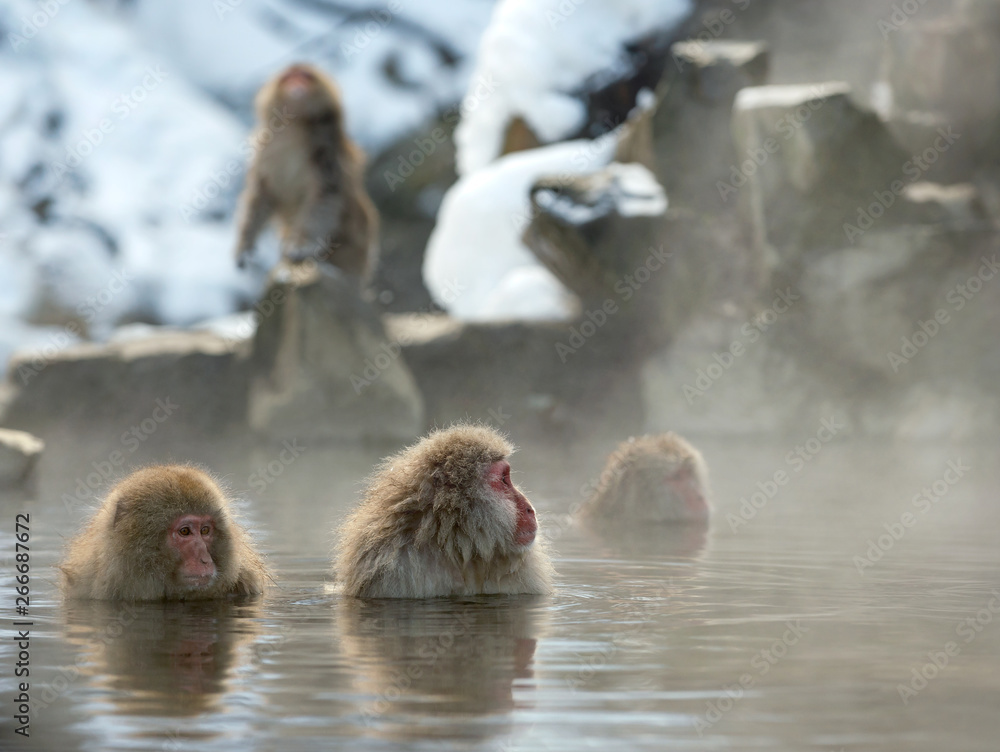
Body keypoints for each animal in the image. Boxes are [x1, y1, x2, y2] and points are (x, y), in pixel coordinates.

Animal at [233, 63, 378, 280]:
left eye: (305, 76)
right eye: (289, 77)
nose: (297, 84)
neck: (293, 126)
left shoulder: (326, 147)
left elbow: (326, 194)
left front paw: (301, 247)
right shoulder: (264, 151)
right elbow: (262, 193)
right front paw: (244, 246)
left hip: (355, 245)